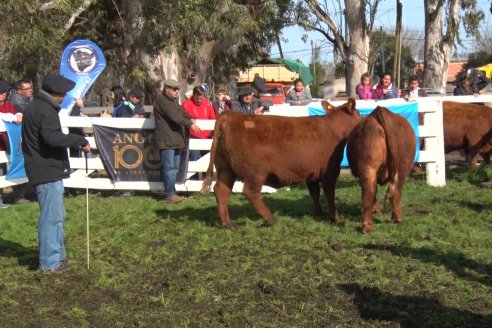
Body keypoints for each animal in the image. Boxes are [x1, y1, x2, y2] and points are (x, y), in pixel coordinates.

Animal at [201, 98, 362, 229]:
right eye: (359, 114)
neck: (333, 128)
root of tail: (232, 116)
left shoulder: (311, 173)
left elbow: (315, 193)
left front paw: (318, 213)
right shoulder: (331, 171)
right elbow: (329, 194)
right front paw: (336, 218)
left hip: (225, 170)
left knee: (221, 191)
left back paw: (228, 224)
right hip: (255, 172)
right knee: (250, 192)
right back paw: (270, 218)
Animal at [346, 105, 416, 233]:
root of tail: (379, 110)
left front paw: (375, 209)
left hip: (368, 167)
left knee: (369, 191)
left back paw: (367, 226)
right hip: (403, 167)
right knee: (396, 191)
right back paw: (396, 218)